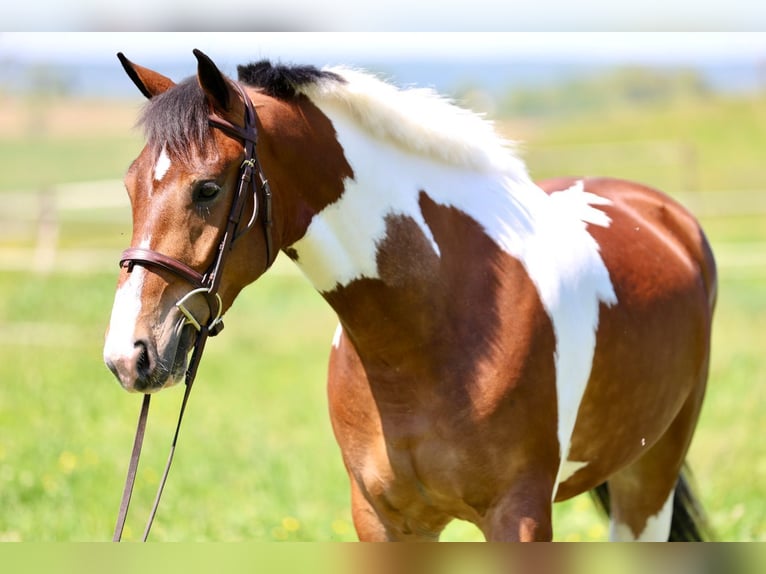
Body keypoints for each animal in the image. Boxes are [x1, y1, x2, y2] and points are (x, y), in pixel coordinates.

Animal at [103, 50, 717, 542]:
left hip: (650, 479)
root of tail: (661, 213)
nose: (128, 356)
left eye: (207, 188)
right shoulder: (385, 520)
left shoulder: (519, 517)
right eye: (130, 185)